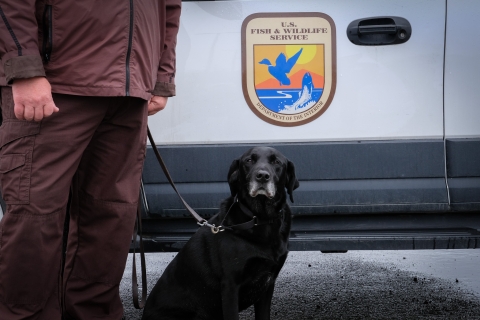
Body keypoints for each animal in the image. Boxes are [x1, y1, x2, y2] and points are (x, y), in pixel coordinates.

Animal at [142, 147, 300, 320]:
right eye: (249, 160)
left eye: (276, 162)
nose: (262, 176)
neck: (261, 219)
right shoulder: (230, 286)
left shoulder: (267, 284)